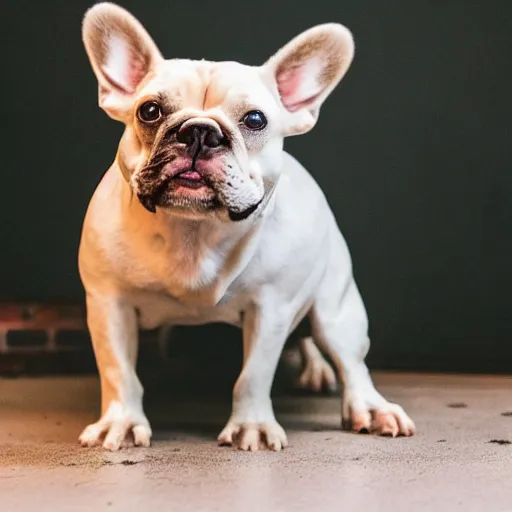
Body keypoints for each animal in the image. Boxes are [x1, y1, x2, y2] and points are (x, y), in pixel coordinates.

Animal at [80, 2, 414, 450]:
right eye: (149, 111)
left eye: (255, 119)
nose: (199, 131)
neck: (193, 233)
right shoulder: (109, 305)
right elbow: (118, 371)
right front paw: (121, 421)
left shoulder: (271, 309)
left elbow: (254, 374)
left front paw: (251, 426)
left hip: (336, 309)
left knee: (349, 360)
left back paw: (368, 405)